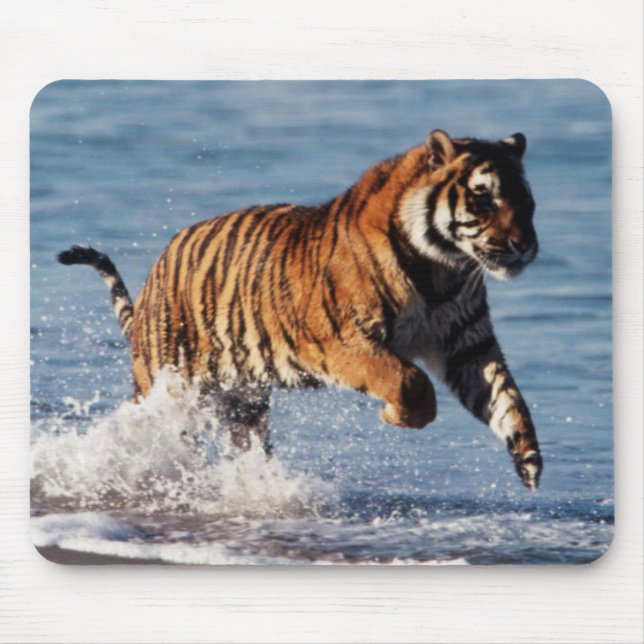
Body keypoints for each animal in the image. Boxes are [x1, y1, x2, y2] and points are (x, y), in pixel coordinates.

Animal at [58, 129, 543, 490]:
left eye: (528, 203)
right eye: (484, 199)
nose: (525, 247)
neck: (442, 269)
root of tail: (155, 275)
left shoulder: (466, 344)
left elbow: (507, 397)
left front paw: (528, 459)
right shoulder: (346, 340)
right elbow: (409, 381)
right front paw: (396, 415)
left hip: (243, 403)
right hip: (169, 388)